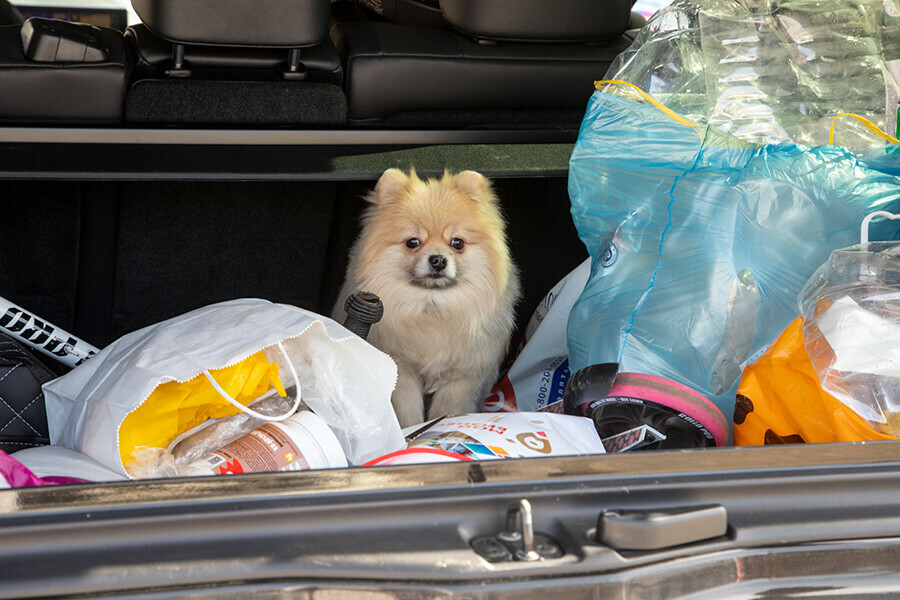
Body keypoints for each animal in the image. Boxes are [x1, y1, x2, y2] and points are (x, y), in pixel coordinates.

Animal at [334, 169, 520, 428]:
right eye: (413, 242)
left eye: (457, 243)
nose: (438, 259)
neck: (432, 307)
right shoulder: (403, 371)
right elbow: (407, 413)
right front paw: (411, 430)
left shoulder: (461, 377)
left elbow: (449, 410)